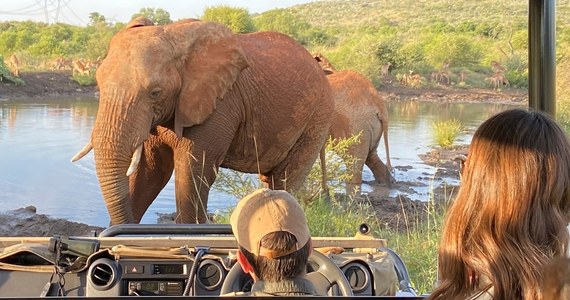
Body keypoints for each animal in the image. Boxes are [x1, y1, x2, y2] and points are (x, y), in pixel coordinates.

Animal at [71, 17, 332, 224]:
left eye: (155, 92)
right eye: (99, 84)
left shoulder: (220, 104)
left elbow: (192, 171)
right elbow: (150, 172)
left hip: (316, 118)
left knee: (286, 180)